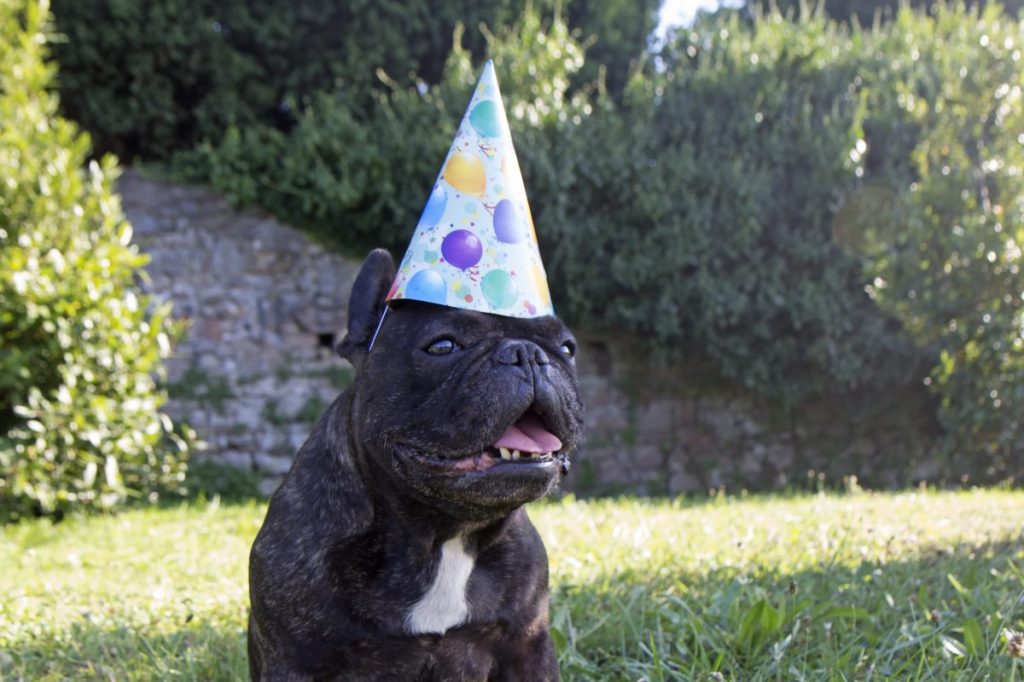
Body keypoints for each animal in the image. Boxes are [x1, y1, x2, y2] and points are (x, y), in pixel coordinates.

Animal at [246, 250, 585, 679]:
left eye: (568, 348)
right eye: (442, 346)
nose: (527, 353)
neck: (443, 534)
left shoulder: (529, 645)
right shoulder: (296, 659)